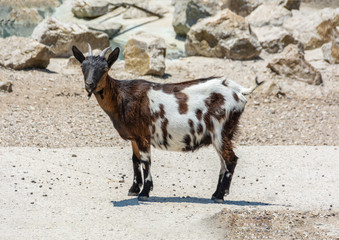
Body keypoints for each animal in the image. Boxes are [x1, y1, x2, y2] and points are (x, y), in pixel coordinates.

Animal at [71, 44, 262, 202]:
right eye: (83, 67)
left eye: (105, 69)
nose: (90, 84)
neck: (122, 97)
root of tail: (238, 90)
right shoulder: (134, 137)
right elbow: (135, 160)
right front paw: (134, 189)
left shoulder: (143, 136)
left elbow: (146, 161)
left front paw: (144, 193)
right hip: (221, 135)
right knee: (223, 161)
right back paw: (215, 194)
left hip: (220, 131)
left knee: (231, 160)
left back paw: (220, 196)